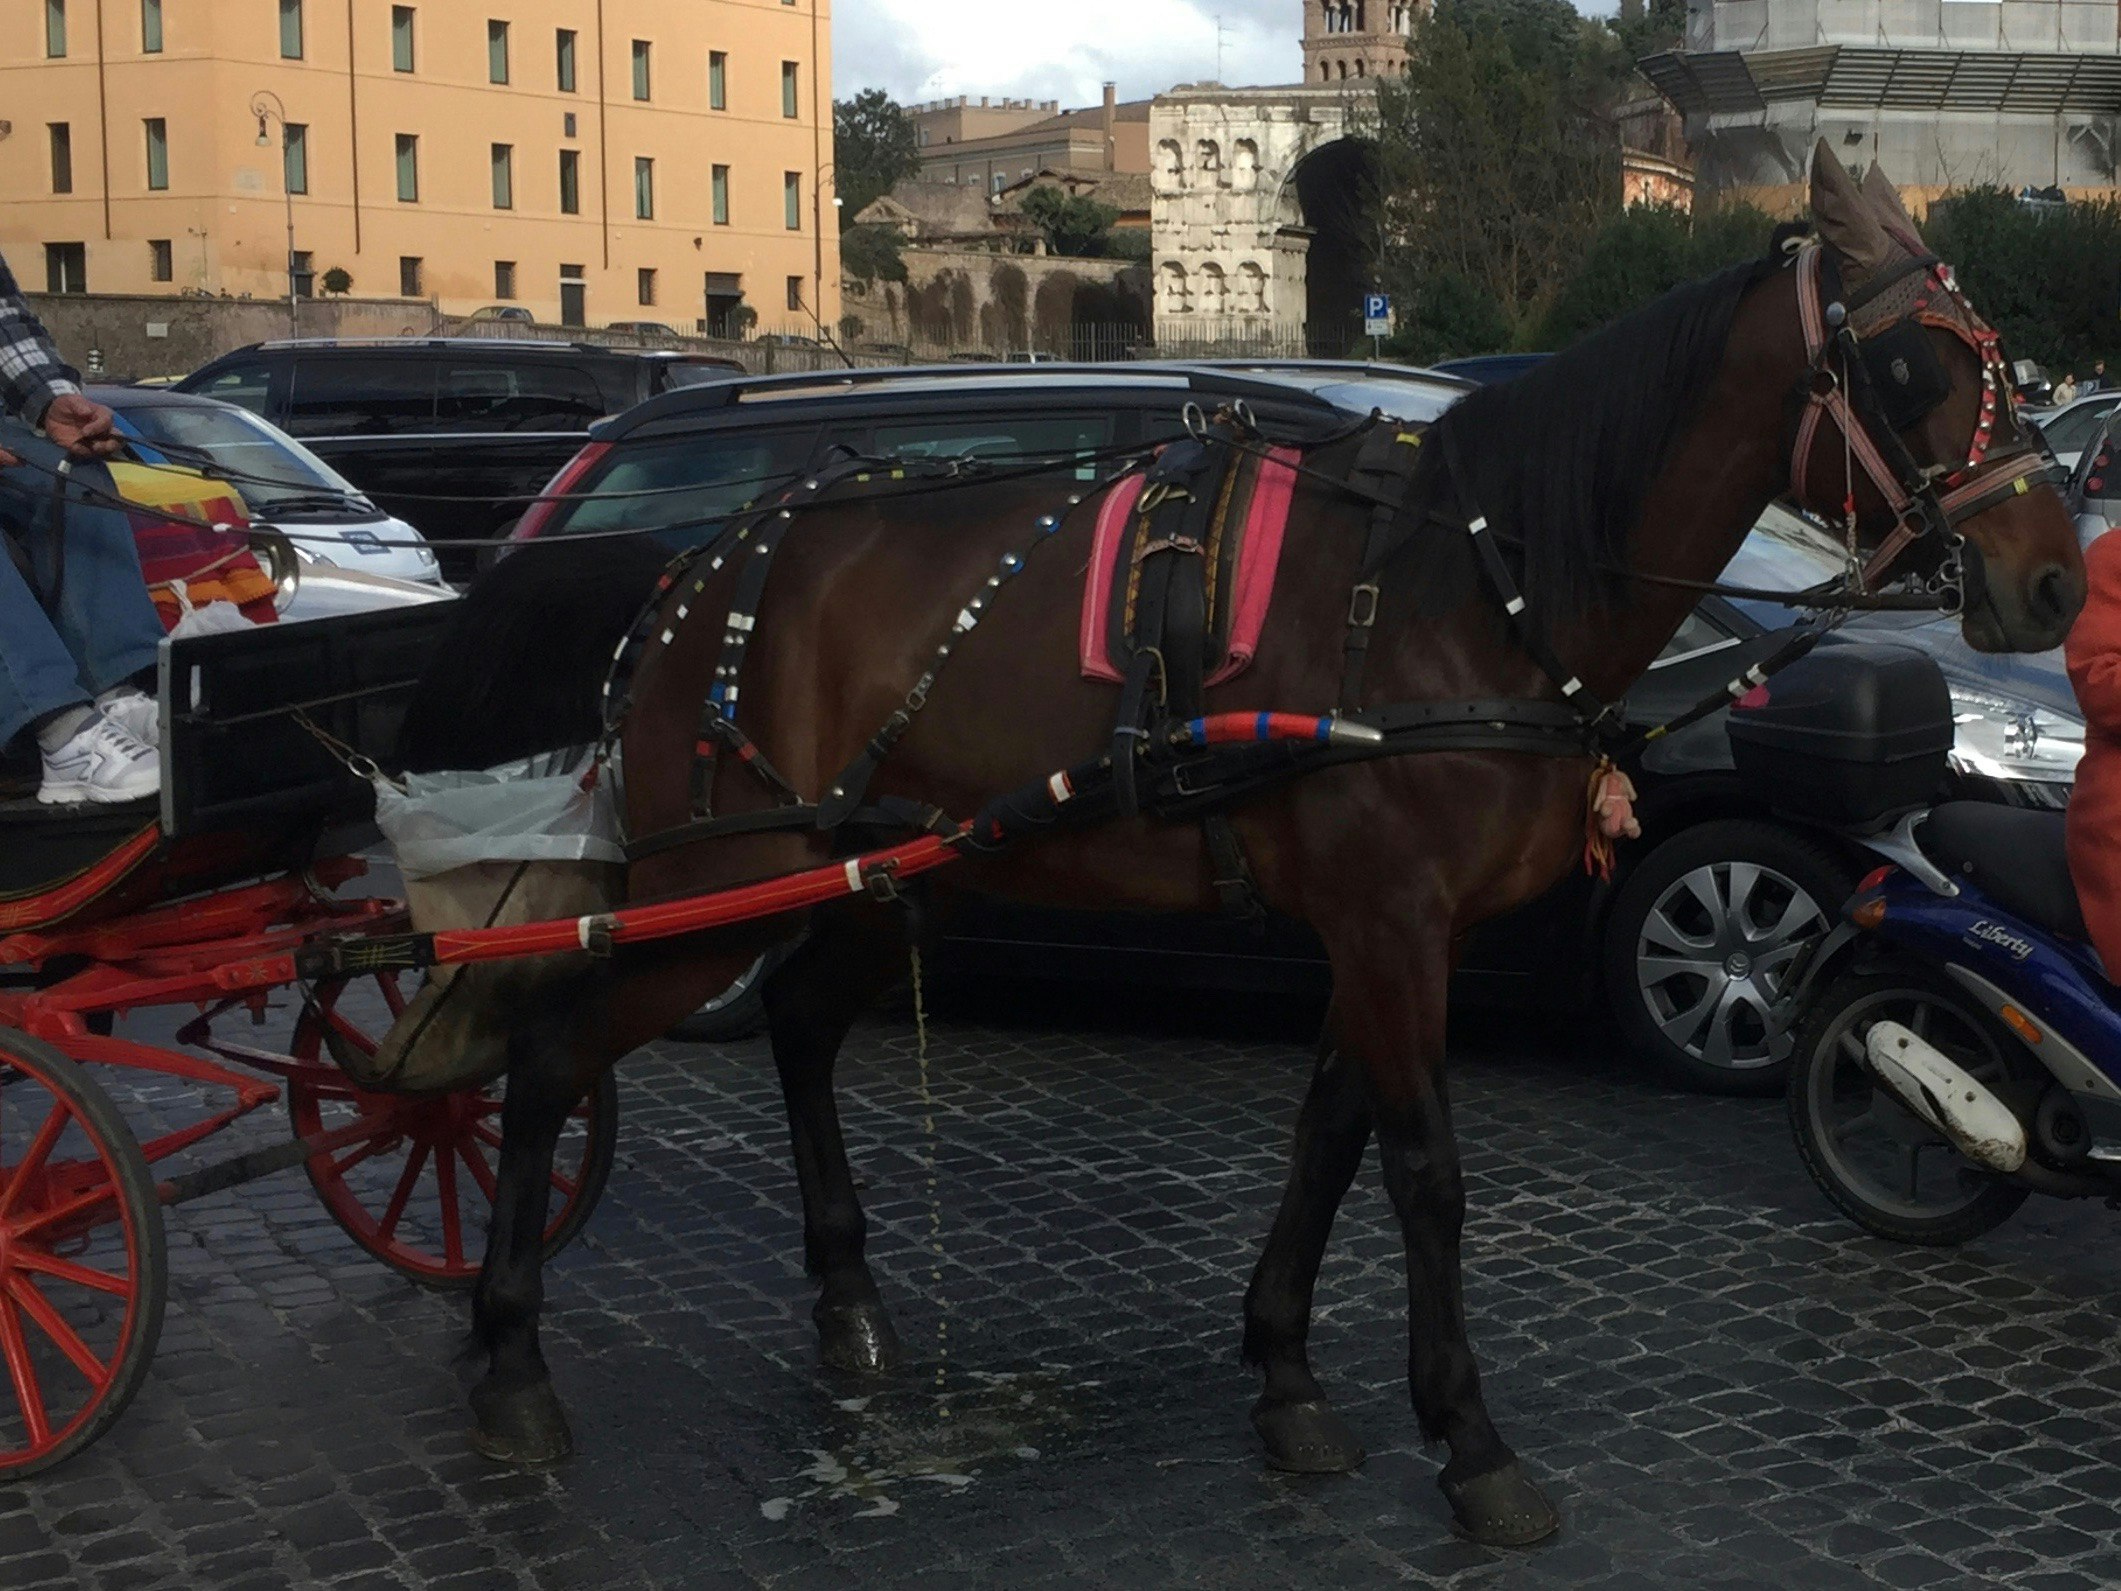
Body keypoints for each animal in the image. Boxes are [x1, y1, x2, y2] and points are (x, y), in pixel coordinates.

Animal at [396, 145, 2084, 1545]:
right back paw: (508, 1351)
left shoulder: (1380, 925)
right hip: (720, 876)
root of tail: (686, 567)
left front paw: (1286, 1372)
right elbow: (1423, 1168)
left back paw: (846, 1300)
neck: (1471, 589)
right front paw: (1469, 1440)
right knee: (549, 1051)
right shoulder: (1391, 918)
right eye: (1917, 364)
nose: (2055, 580)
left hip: (875, 873)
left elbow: (1328, 1135)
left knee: (802, 1023)